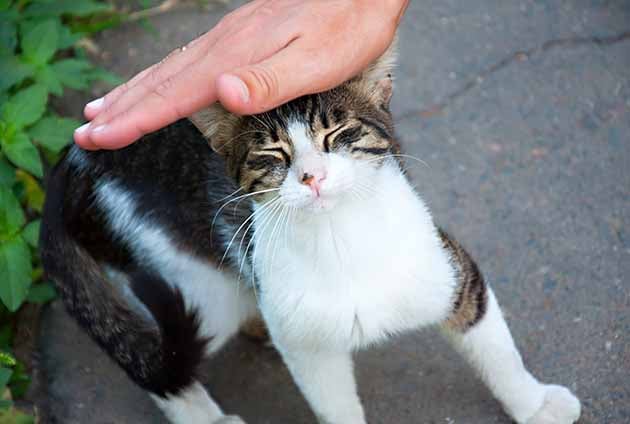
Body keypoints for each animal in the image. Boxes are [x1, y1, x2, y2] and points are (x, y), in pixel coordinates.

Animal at [40, 44, 584, 424]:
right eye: (272, 155)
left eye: (337, 135)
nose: (311, 176)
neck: (341, 239)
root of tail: (72, 158)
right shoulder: (308, 348)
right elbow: (335, 404)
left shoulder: (452, 271)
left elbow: (496, 350)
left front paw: (535, 403)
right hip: (193, 286)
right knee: (165, 362)